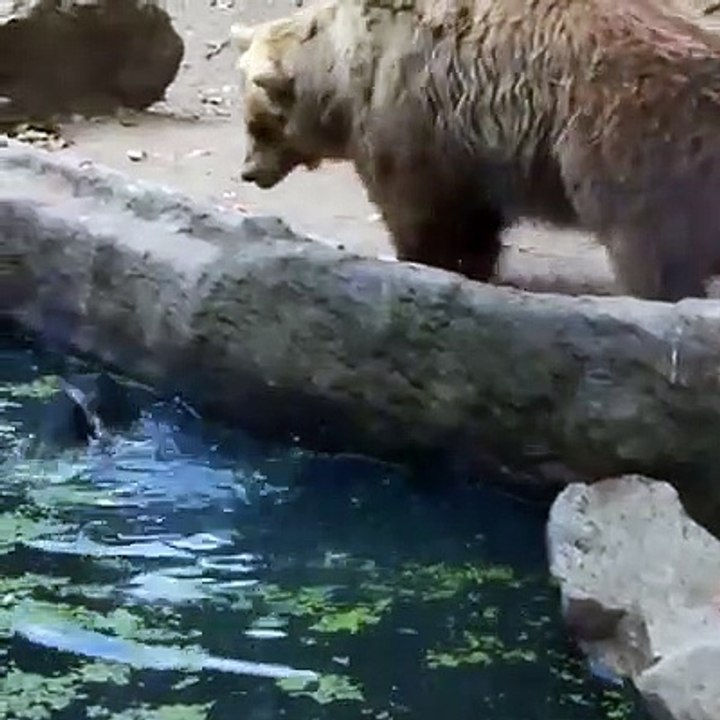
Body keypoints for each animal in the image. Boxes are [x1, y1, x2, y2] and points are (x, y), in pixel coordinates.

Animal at [231, 0, 720, 301]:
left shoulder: (407, 113)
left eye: (258, 124)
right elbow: (472, 217)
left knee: (647, 241)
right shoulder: (463, 142)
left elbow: (421, 211)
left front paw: (427, 262)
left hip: (623, 133)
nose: (248, 172)